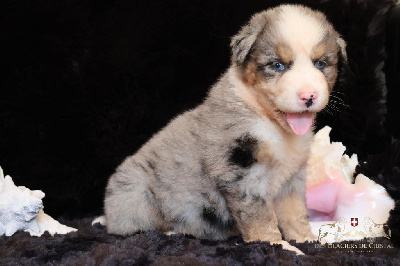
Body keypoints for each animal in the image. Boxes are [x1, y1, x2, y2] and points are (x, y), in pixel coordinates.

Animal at [104, 4, 346, 244]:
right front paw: (277, 245)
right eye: (278, 65)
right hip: (135, 194)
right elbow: (261, 218)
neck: (271, 123)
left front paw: (306, 239)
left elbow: (295, 212)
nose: (309, 96)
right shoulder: (242, 171)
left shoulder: (292, 178)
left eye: (320, 64)